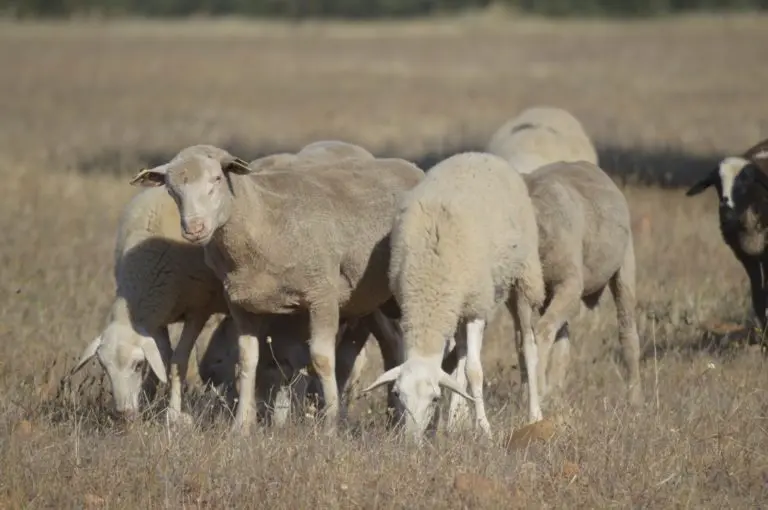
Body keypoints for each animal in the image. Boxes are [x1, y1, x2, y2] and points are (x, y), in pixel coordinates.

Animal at [128, 144, 424, 434]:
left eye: (217, 179)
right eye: (171, 189)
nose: (194, 228)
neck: (262, 218)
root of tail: (407, 166)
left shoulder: (323, 295)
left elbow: (322, 359)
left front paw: (329, 427)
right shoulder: (241, 304)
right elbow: (247, 361)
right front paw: (241, 426)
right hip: (369, 302)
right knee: (390, 345)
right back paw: (394, 416)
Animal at [362, 151, 544, 442]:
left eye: (435, 399)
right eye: (398, 395)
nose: (411, 442)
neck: (429, 288)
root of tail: (478, 154)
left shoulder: (476, 307)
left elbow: (474, 370)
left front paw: (484, 428)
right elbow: (457, 365)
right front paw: (446, 424)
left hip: (522, 277)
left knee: (527, 345)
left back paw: (535, 416)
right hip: (461, 305)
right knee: (460, 353)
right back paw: (456, 420)